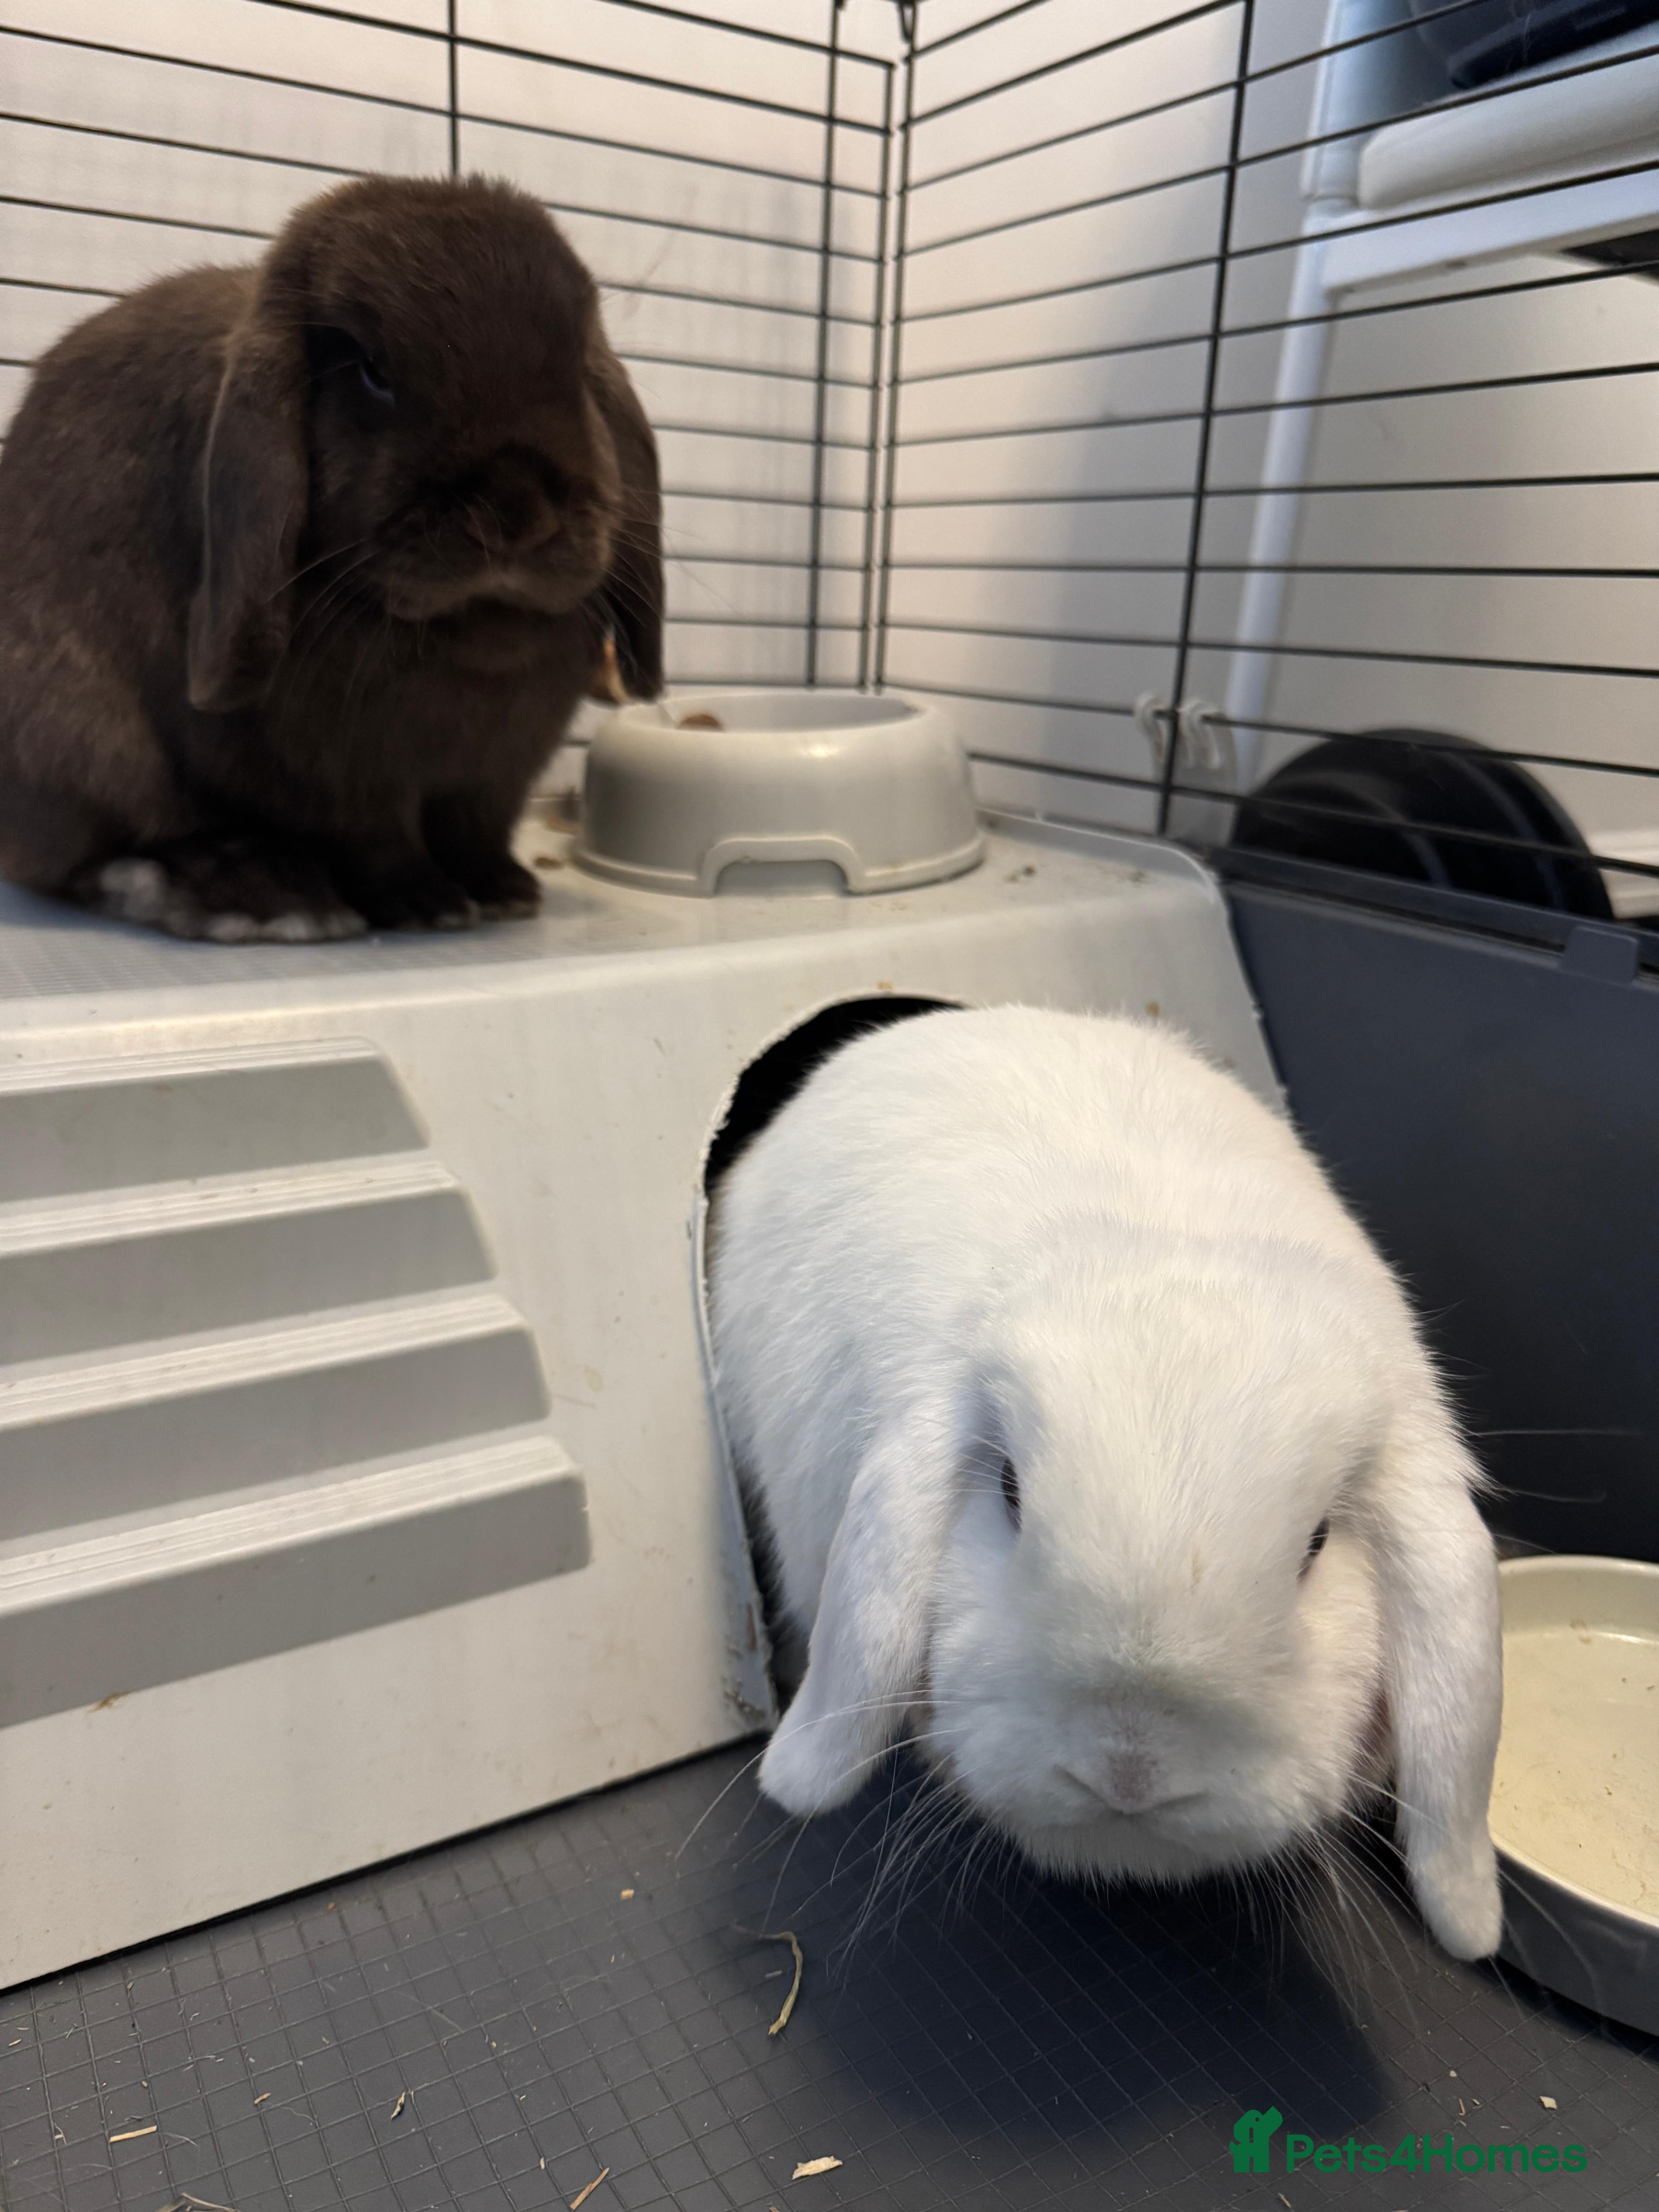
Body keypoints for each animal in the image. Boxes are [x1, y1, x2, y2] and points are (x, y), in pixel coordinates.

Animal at [0, 174, 662, 940]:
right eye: (373, 371)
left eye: (581, 371)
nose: (516, 512)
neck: (473, 629)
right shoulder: (331, 776)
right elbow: (376, 840)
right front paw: (427, 904)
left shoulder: (497, 775)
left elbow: (478, 830)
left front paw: (505, 892)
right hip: (80, 740)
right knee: (99, 854)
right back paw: (262, 891)